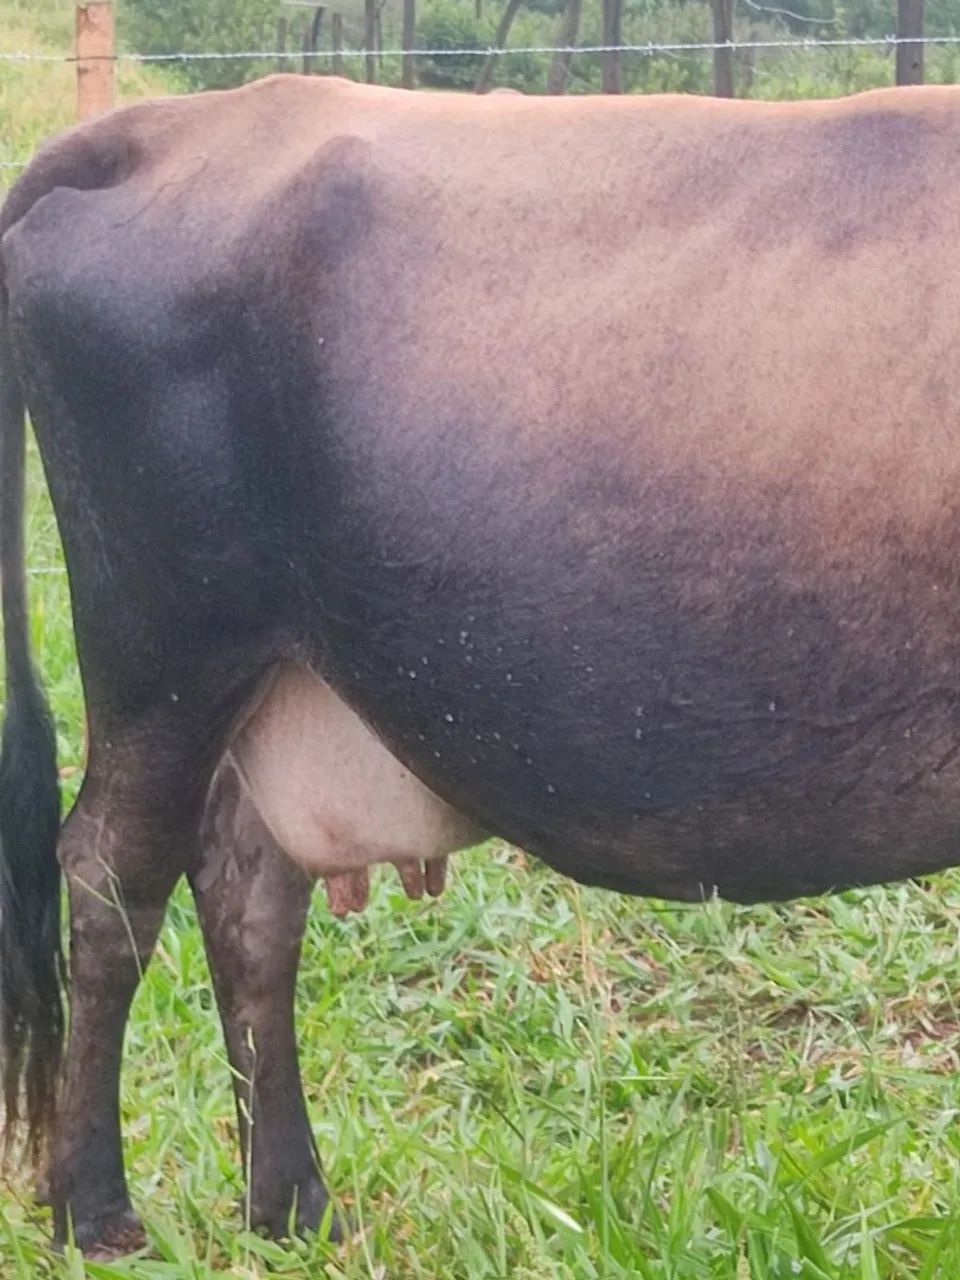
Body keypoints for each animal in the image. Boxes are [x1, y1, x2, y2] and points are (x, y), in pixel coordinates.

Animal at [3, 74, 960, 1257]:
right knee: (112, 880)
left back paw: (291, 1207)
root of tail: (175, 125)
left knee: (249, 894)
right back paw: (96, 1213)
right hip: (164, 638)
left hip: (268, 670)